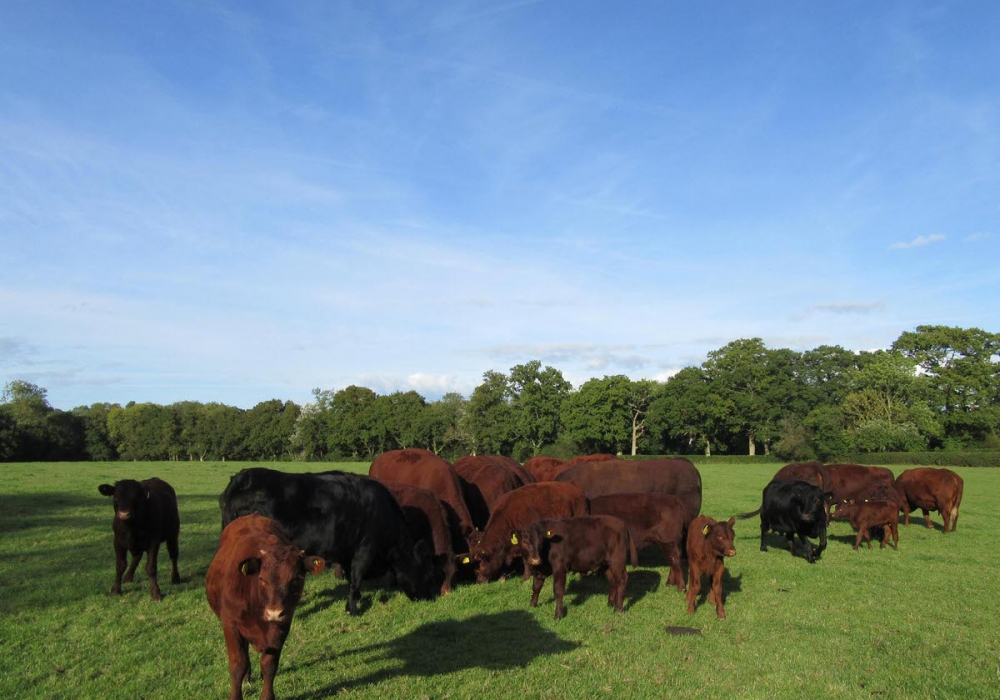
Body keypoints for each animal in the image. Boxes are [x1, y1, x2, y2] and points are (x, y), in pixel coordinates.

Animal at [205, 516, 326, 700]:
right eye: (262, 578)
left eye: (297, 579)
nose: (274, 613)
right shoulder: (230, 625)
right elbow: (238, 665)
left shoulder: (281, 628)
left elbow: (269, 666)